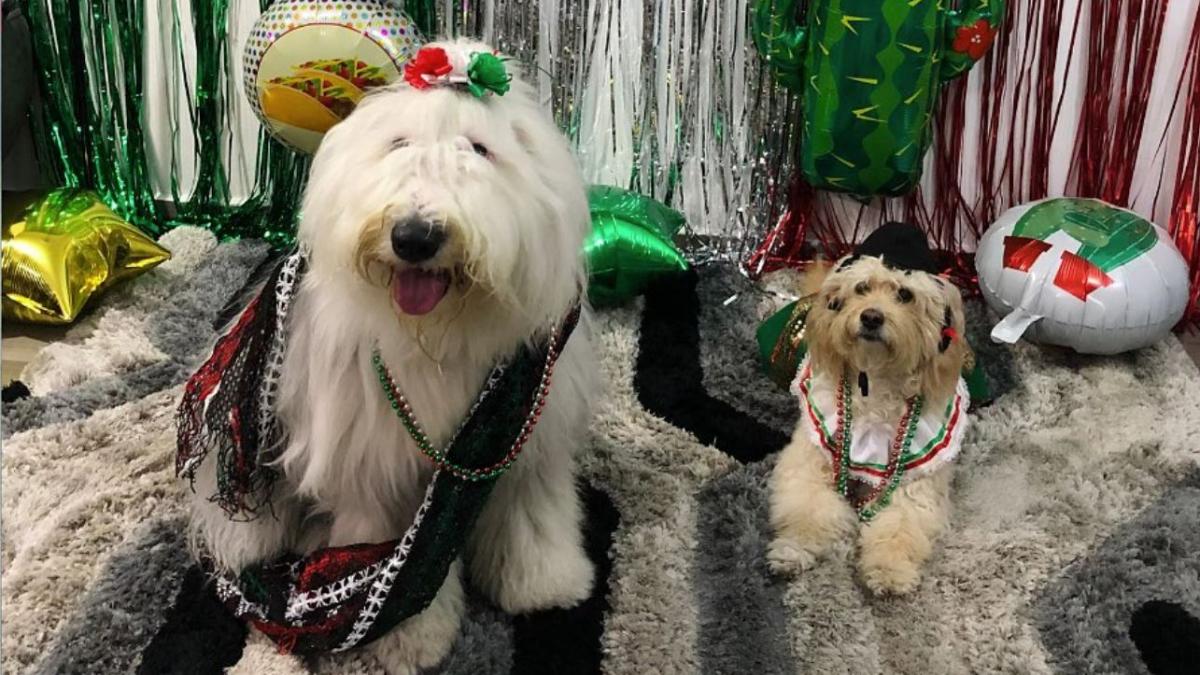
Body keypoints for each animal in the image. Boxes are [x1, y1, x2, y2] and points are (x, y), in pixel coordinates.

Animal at [187, 40, 595, 667]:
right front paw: (408, 640)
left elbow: (531, 515)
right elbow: (390, 558)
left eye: (480, 149)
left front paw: (545, 585)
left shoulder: (527, 436)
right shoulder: (374, 463)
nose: (415, 236)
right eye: (398, 144)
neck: (438, 335)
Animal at [772, 223, 969, 590]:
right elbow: (806, 510)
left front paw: (889, 572)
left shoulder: (915, 485)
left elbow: (898, 529)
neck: (875, 384)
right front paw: (793, 550)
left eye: (905, 295)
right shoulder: (809, 459)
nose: (872, 318)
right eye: (862, 287)